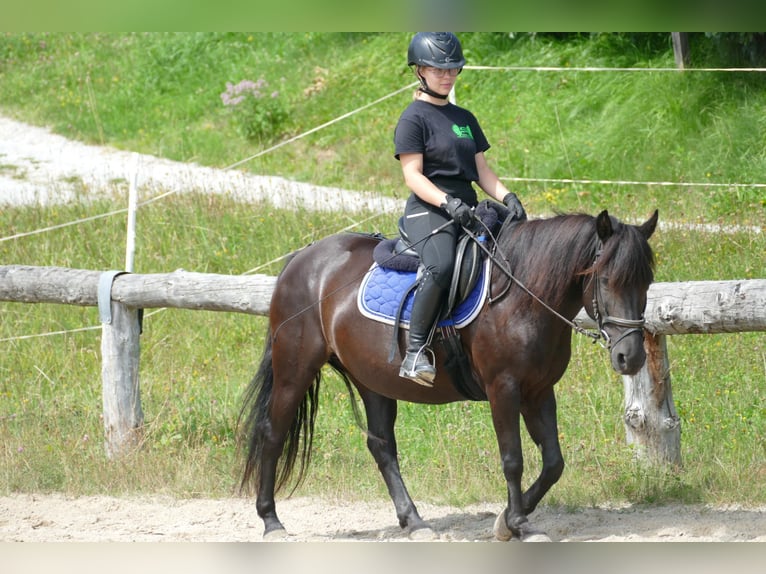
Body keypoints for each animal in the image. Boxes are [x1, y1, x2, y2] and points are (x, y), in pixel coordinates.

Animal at [240, 209, 660, 544]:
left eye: (645, 282)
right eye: (604, 279)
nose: (631, 357)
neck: (521, 298)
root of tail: (304, 257)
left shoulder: (539, 390)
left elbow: (554, 462)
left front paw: (505, 522)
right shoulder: (503, 388)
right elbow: (513, 459)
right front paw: (518, 523)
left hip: (372, 379)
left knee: (382, 447)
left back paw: (414, 522)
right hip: (294, 369)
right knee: (272, 433)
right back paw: (271, 521)